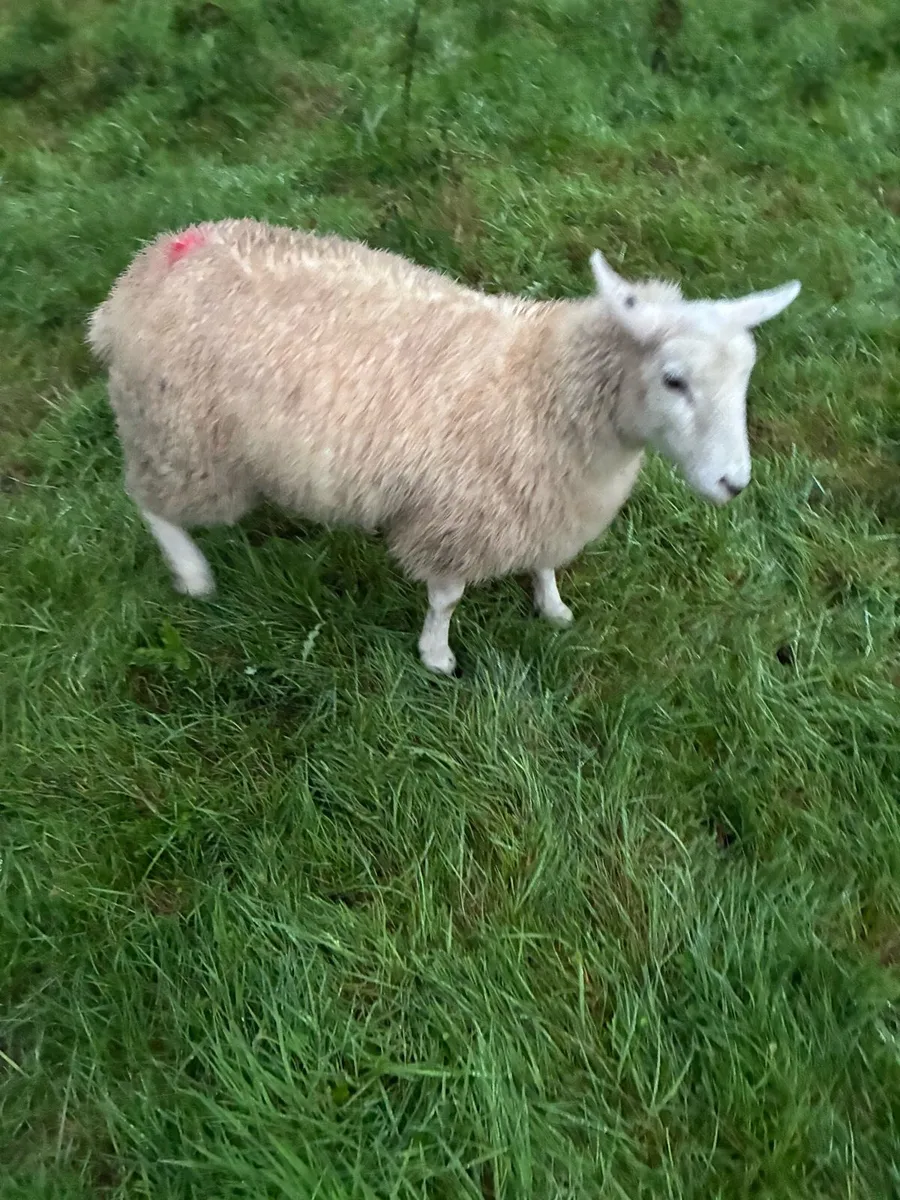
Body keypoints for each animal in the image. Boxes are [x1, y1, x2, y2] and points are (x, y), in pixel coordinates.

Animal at [87, 218, 799, 674]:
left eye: (744, 376)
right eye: (674, 379)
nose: (734, 483)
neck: (539, 387)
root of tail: (147, 267)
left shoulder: (543, 500)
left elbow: (545, 563)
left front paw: (552, 606)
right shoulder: (456, 515)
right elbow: (446, 598)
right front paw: (437, 657)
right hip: (180, 437)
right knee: (150, 502)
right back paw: (193, 573)